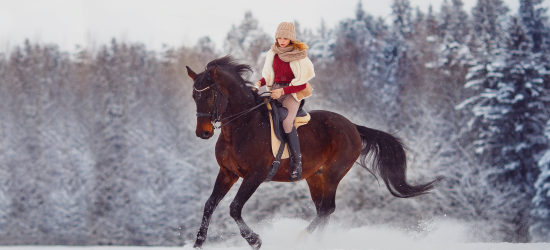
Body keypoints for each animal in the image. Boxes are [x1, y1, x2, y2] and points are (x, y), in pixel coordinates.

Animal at [185, 55, 440, 249]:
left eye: (209, 95)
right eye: (194, 96)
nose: (203, 133)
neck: (240, 126)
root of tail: (353, 126)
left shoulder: (255, 175)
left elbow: (234, 208)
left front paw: (254, 240)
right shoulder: (227, 173)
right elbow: (210, 205)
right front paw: (198, 243)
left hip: (333, 173)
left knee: (327, 209)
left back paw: (301, 238)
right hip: (315, 177)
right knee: (323, 211)